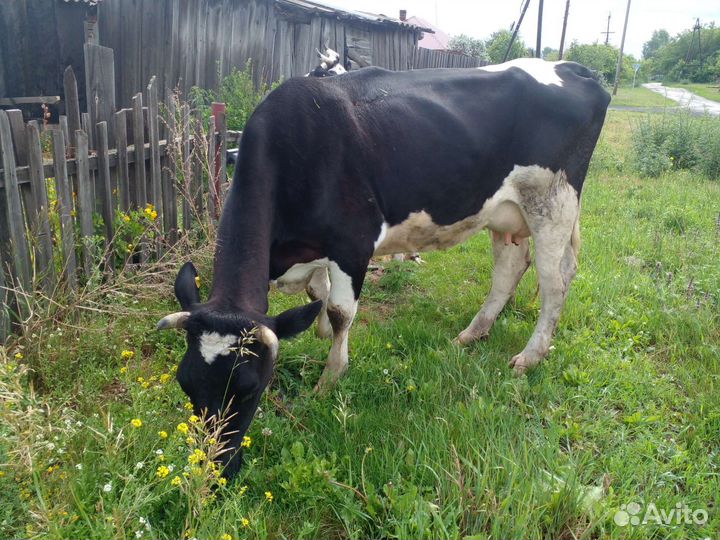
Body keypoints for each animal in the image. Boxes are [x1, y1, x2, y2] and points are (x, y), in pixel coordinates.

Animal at [157, 58, 610, 477]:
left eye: (250, 387)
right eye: (185, 382)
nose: (215, 467)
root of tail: (571, 68)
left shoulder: (352, 244)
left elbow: (341, 312)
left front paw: (330, 377)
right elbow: (317, 295)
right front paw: (320, 332)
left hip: (553, 203)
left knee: (555, 281)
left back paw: (530, 356)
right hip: (505, 213)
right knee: (510, 267)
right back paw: (472, 334)